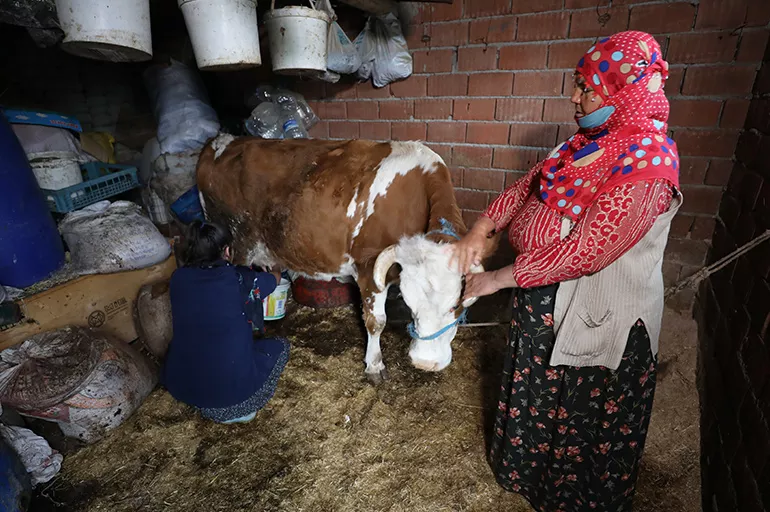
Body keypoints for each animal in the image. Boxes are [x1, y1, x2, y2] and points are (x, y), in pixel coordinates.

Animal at [196, 134, 487, 383]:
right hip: (236, 244)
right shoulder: (368, 268)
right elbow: (376, 322)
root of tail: (222, 140)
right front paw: (374, 366)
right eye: (410, 302)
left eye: (457, 305)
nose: (425, 363)